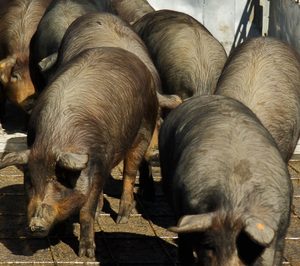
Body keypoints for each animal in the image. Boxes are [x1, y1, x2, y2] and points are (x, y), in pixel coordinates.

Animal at [0, 46, 159, 258]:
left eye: (57, 180)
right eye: (30, 182)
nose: (35, 224)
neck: (55, 139)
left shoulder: (98, 165)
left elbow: (86, 212)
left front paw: (86, 254)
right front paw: (58, 233)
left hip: (145, 128)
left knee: (129, 173)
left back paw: (121, 219)